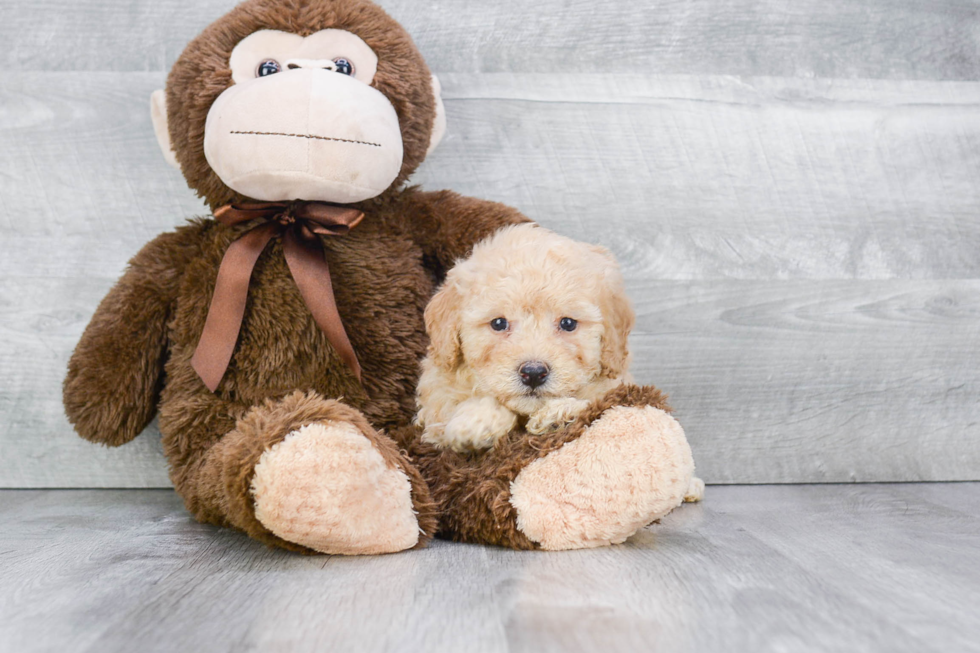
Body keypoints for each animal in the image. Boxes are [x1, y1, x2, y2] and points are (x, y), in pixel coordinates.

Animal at [416, 224, 636, 454]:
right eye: (498, 323)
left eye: (568, 323)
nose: (533, 373)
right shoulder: (435, 409)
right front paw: (478, 421)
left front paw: (560, 412)